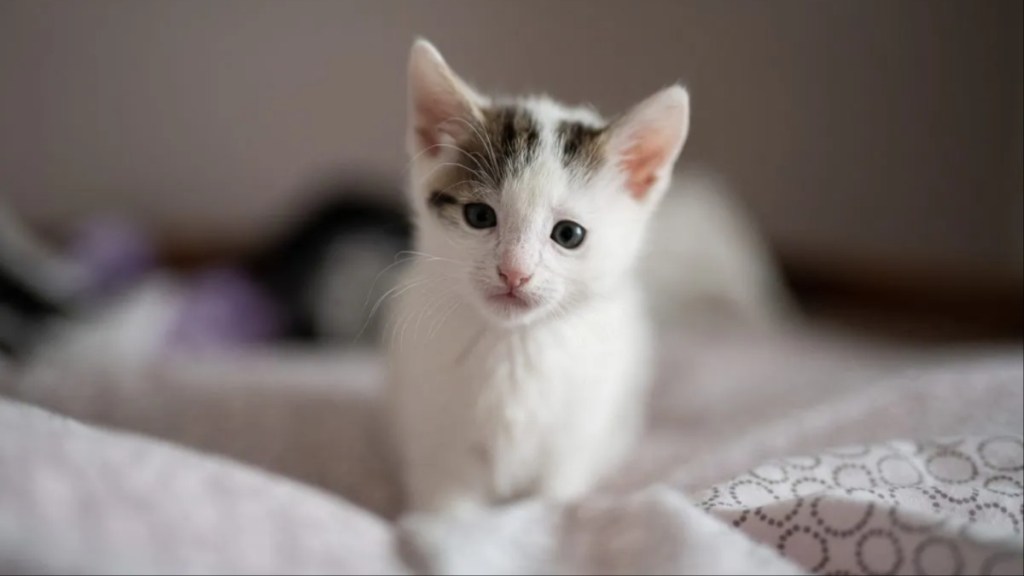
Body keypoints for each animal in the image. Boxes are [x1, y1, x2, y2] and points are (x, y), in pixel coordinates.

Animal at [387, 39, 692, 516]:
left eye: (568, 234)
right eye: (479, 216)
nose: (514, 271)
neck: (515, 346)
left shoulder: (574, 442)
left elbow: (550, 500)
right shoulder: (434, 436)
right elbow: (448, 509)